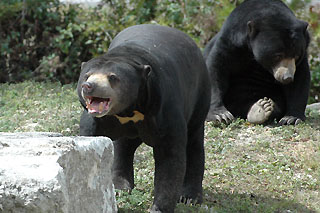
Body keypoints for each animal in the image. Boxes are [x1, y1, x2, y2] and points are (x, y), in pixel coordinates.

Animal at [76, 24, 211, 212]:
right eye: (86, 76)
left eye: (113, 77)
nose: (88, 86)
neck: (128, 109)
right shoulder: (94, 120)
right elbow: (91, 143)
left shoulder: (164, 107)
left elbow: (170, 158)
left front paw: (159, 208)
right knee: (123, 147)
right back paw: (120, 186)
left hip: (200, 96)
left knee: (194, 142)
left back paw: (190, 197)